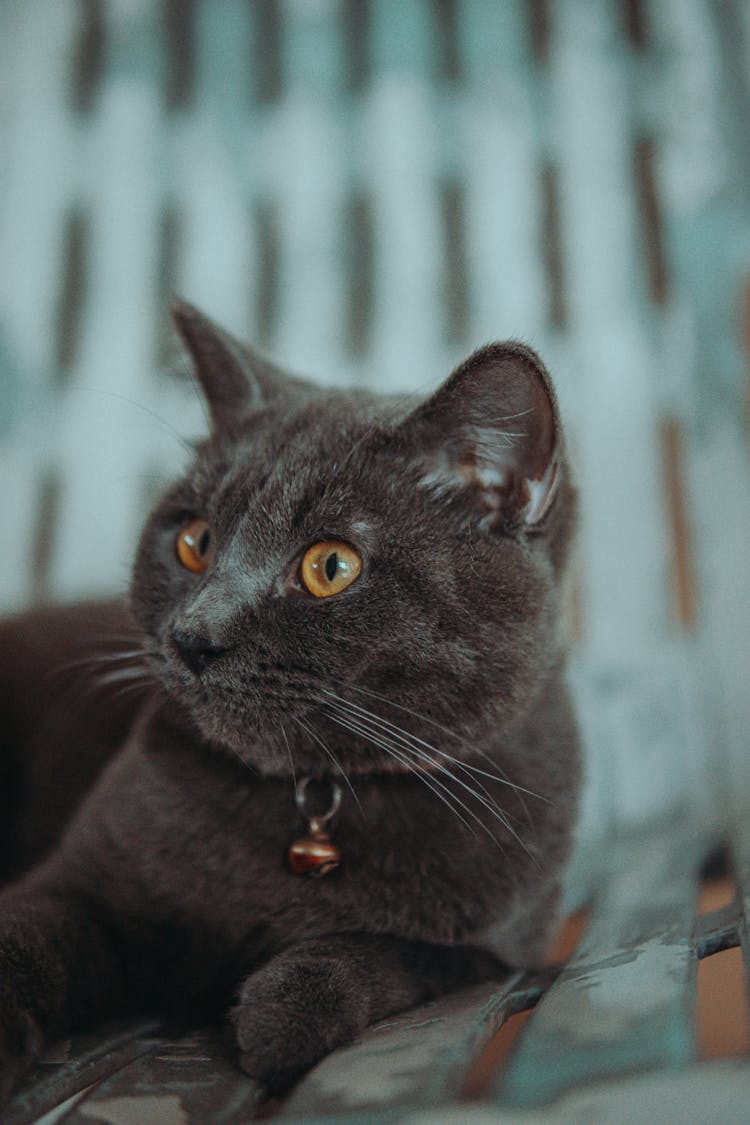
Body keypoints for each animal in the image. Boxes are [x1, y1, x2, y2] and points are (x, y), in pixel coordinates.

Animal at [0, 303, 580, 1102]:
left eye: (330, 565)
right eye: (195, 540)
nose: (194, 635)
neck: (311, 795)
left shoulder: (506, 946)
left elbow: (405, 955)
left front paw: (288, 1005)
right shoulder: (79, 882)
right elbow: (25, 937)